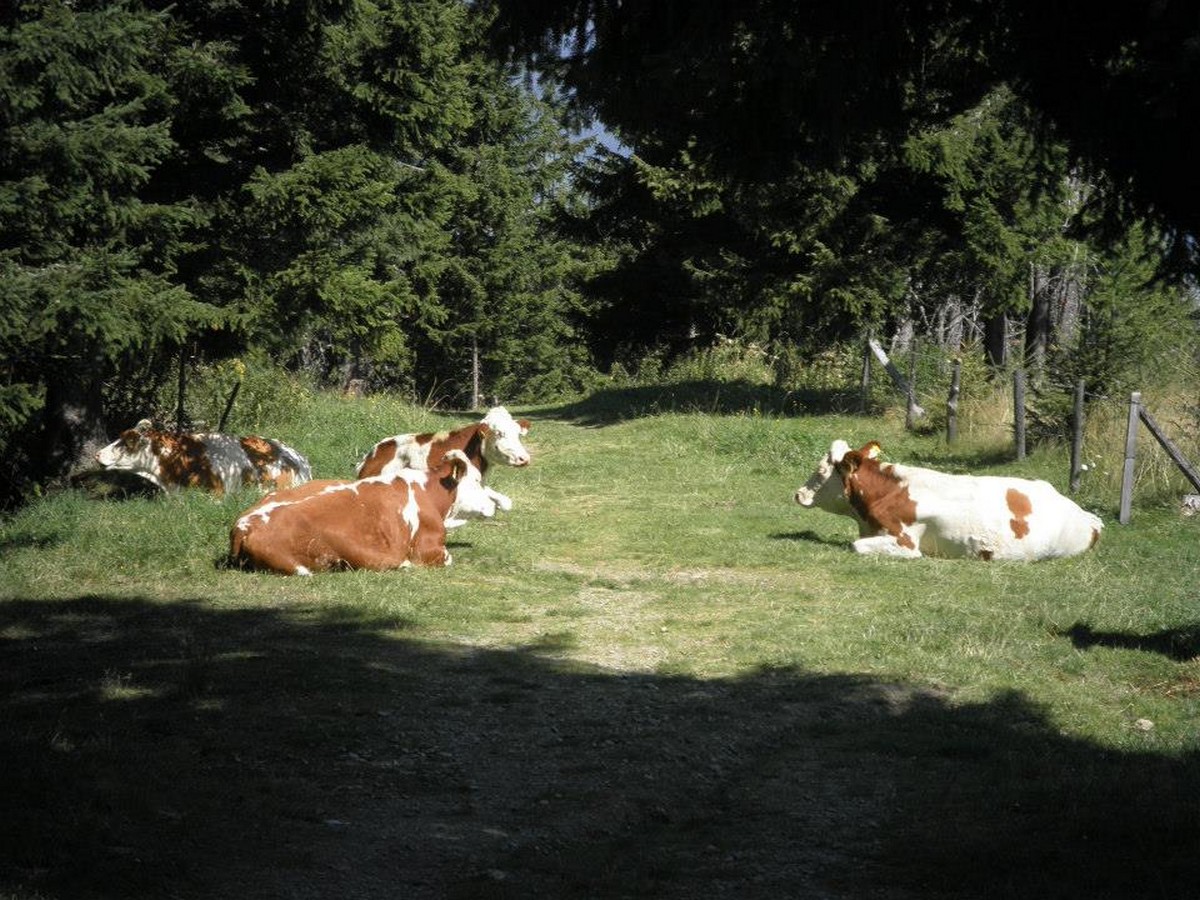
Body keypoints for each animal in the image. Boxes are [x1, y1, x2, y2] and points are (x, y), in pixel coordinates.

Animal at [229, 451, 496, 578]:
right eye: (477, 480)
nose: (493, 505)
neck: (429, 492)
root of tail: (245, 525)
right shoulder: (429, 551)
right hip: (304, 566)